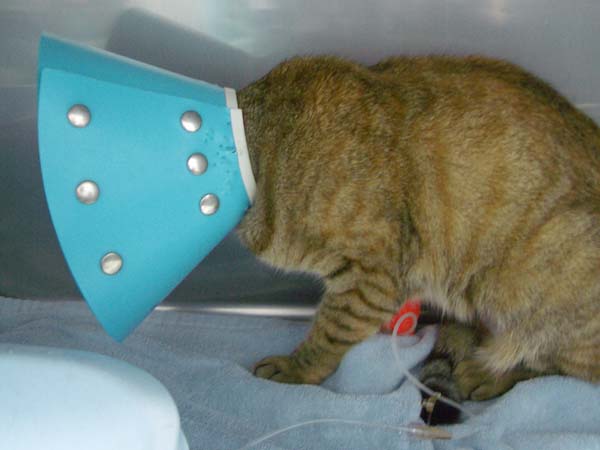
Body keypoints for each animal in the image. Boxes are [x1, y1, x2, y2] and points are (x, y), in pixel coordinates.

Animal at [234, 55, 600, 417]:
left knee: (553, 365)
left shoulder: (370, 282)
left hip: (534, 283)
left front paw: (294, 369)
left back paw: (488, 372)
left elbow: (329, 335)